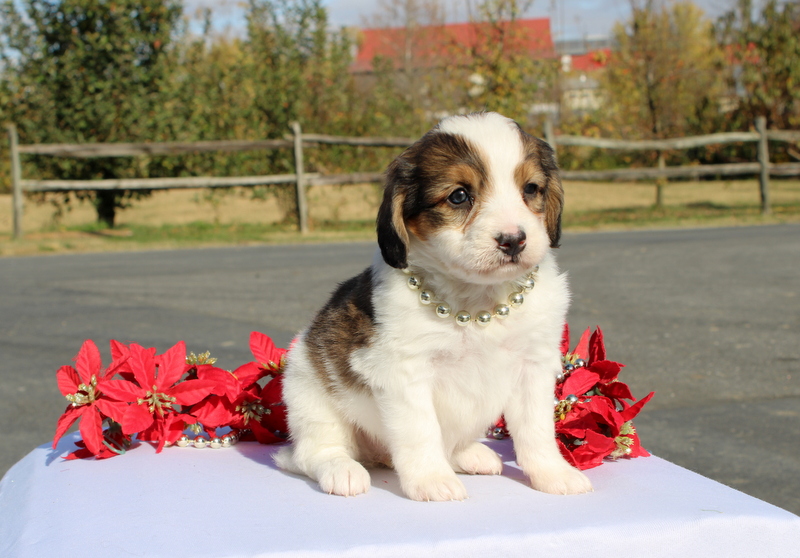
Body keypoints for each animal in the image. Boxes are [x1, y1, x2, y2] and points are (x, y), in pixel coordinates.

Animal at [276, 111, 592, 500]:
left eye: (530, 189)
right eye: (459, 196)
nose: (513, 240)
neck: (478, 304)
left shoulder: (533, 366)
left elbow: (537, 431)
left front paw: (553, 473)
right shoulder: (404, 371)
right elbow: (420, 431)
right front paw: (431, 479)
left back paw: (469, 455)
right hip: (308, 392)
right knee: (313, 452)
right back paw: (341, 470)